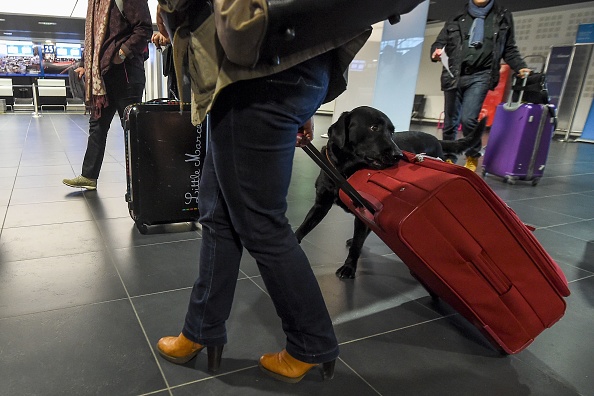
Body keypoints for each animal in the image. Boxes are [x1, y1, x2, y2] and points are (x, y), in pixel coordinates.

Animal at [294, 105, 484, 278]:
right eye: (373, 127)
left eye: (392, 132)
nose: (398, 155)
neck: (345, 171)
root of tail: (437, 140)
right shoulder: (321, 205)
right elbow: (303, 227)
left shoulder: (362, 211)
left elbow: (357, 245)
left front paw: (349, 267)